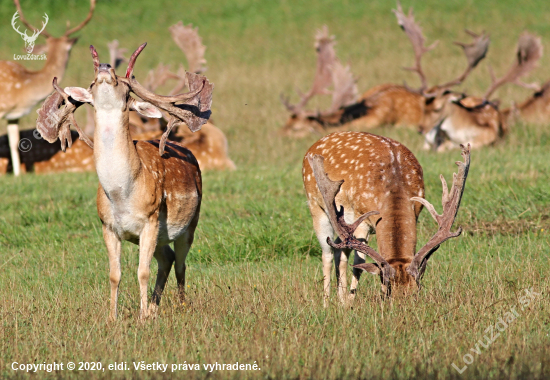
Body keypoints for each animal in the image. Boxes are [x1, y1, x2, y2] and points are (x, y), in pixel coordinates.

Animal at [35, 42, 215, 320]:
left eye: (124, 83)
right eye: (91, 82)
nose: (105, 66)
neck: (122, 194)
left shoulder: (151, 219)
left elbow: (142, 272)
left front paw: (141, 318)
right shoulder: (107, 226)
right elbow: (114, 275)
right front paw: (113, 317)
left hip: (190, 223)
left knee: (181, 262)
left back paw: (181, 305)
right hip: (162, 237)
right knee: (167, 259)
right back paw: (154, 307)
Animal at [304, 132, 472, 304]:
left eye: (416, 292)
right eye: (388, 289)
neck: (393, 187)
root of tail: (314, 146)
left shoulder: (416, 212)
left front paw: (347, 301)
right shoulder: (360, 219)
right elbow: (359, 264)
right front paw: (351, 303)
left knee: (339, 249)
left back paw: (341, 299)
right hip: (316, 206)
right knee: (328, 253)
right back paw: (327, 302)